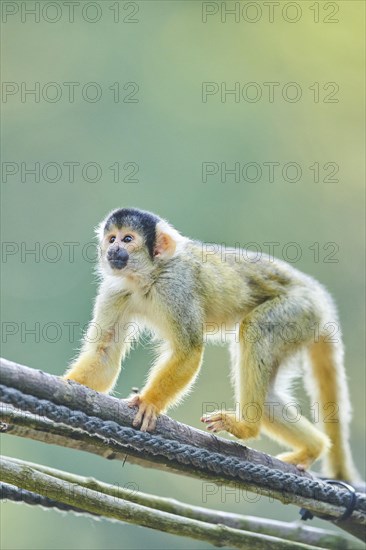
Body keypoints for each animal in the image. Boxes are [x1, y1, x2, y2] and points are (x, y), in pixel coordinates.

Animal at [63, 208, 358, 484]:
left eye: (127, 239)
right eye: (111, 238)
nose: (113, 249)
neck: (147, 276)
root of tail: (317, 293)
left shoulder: (176, 286)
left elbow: (190, 350)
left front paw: (149, 402)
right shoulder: (116, 291)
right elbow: (105, 353)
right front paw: (68, 383)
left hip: (299, 308)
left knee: (255, 331)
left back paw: (246, 427)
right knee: (269, 394)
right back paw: (312, 446)